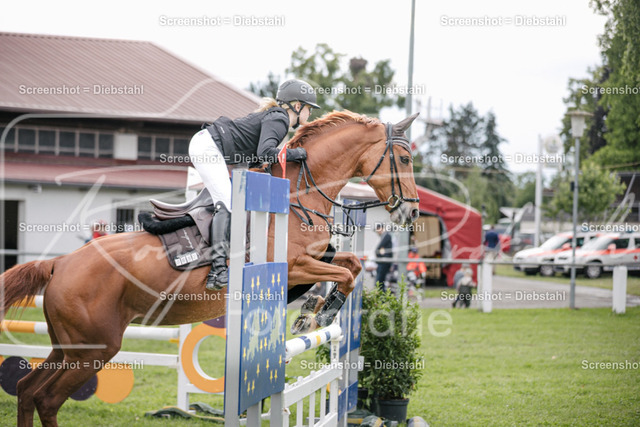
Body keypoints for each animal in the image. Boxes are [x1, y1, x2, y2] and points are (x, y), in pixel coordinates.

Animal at [0, 110, 420, 427]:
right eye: (404, 159)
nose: (411, 213)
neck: (297, 196)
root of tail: (58, 264)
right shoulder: (295, 267)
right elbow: (345, 272)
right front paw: (318, 315)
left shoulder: (314, 260)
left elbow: (351, 263)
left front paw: (311, 313)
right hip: (94, 349)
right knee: (47, 398)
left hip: (68, 347)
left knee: (27, 391)